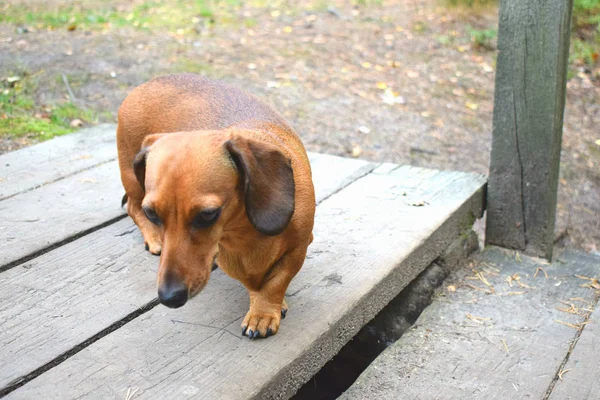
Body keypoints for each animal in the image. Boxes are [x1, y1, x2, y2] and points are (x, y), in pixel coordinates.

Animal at [115, 74, 316, 338]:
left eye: (208, 215)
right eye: (153, 214)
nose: (169, 297)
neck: (244, 230)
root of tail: (145, 85)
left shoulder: (298, 247)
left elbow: (275, 281)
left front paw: (264, 310)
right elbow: (257, 282)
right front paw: (262, 307)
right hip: (132, 177)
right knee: (132, 206)